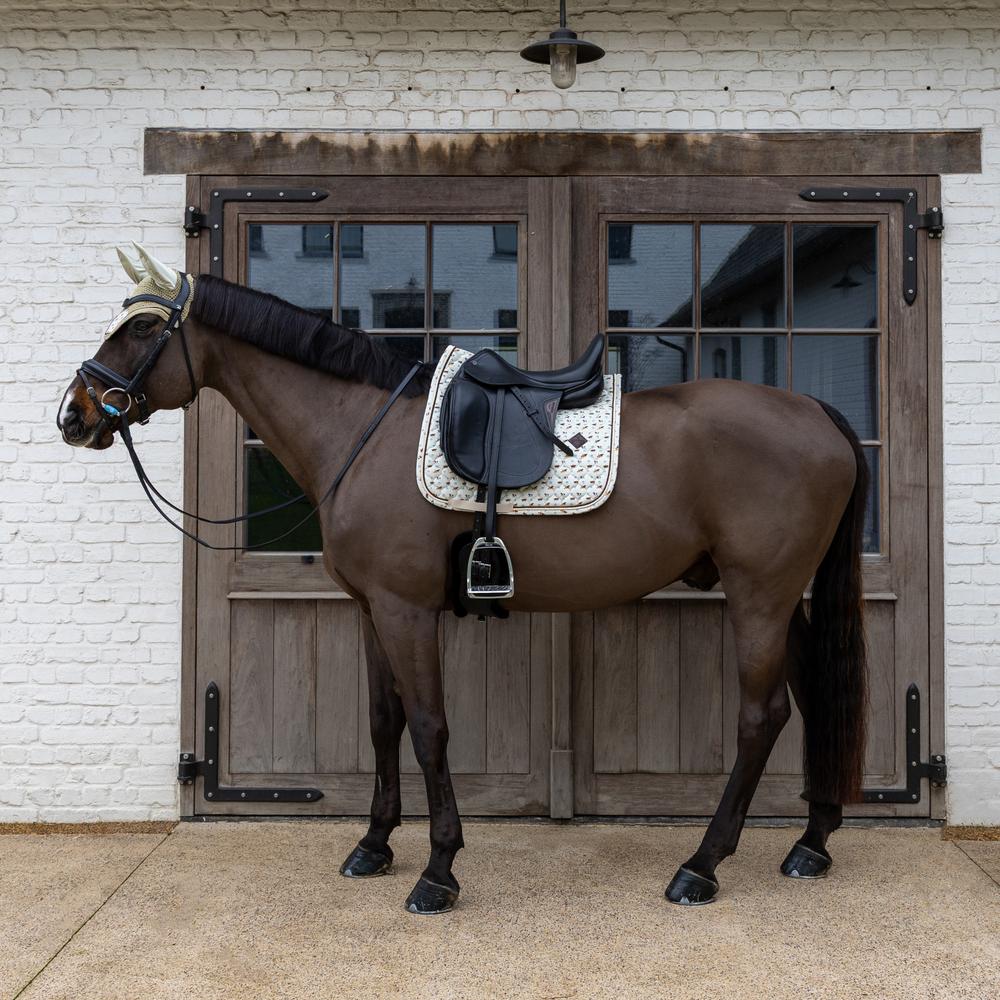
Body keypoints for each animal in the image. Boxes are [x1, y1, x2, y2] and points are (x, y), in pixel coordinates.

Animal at [57, 244, 868, 914]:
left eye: (140, 330)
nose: (74, 413)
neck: (362, 428)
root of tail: (816, 412)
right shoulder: (370, 610)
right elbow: (384, 723)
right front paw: (374, 845)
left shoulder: (407, 611)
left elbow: (429, 728)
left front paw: (438, 870)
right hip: (784, 597)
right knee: (814, 693)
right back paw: (812, 842)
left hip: (759, 595)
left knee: (762, 716)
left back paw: (702, 865)